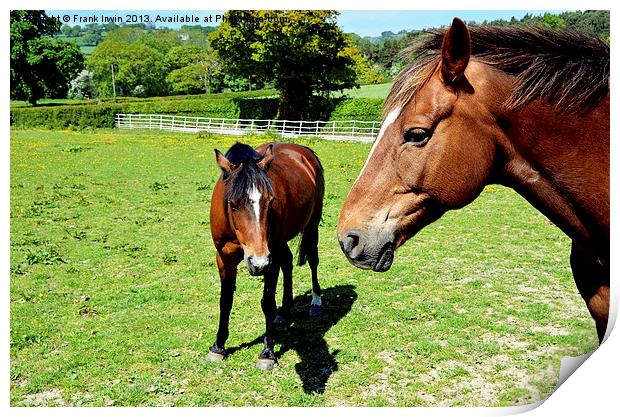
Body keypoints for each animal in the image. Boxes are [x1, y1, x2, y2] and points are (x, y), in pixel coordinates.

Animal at [208, 142, 324, 368]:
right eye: (233, 204)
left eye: (271, 202)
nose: (258, 263)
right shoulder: (224, 258)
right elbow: (225, 300)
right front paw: (218, 347)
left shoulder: (270, 259)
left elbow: (267, 302)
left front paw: (267, 352)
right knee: (288, 262)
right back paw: (285, 311)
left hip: (310, 226)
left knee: (313, 260)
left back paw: (316, 302)